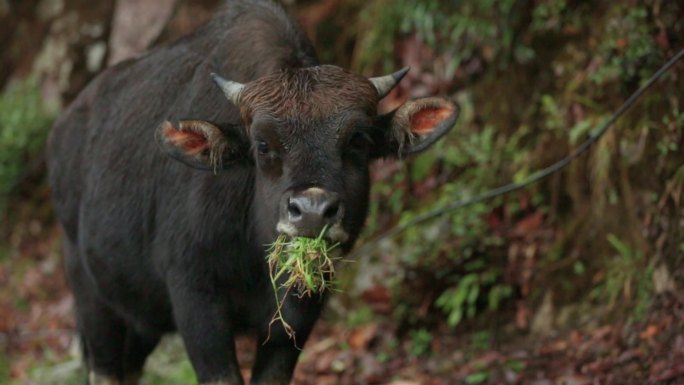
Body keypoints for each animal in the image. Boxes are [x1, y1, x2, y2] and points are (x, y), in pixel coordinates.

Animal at [45, 0, 456, 384]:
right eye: (262, 145)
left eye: (358, 140)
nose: (311, 210)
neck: (251, 255)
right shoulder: (195, 298)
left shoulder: (299, 313)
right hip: (90, 293)